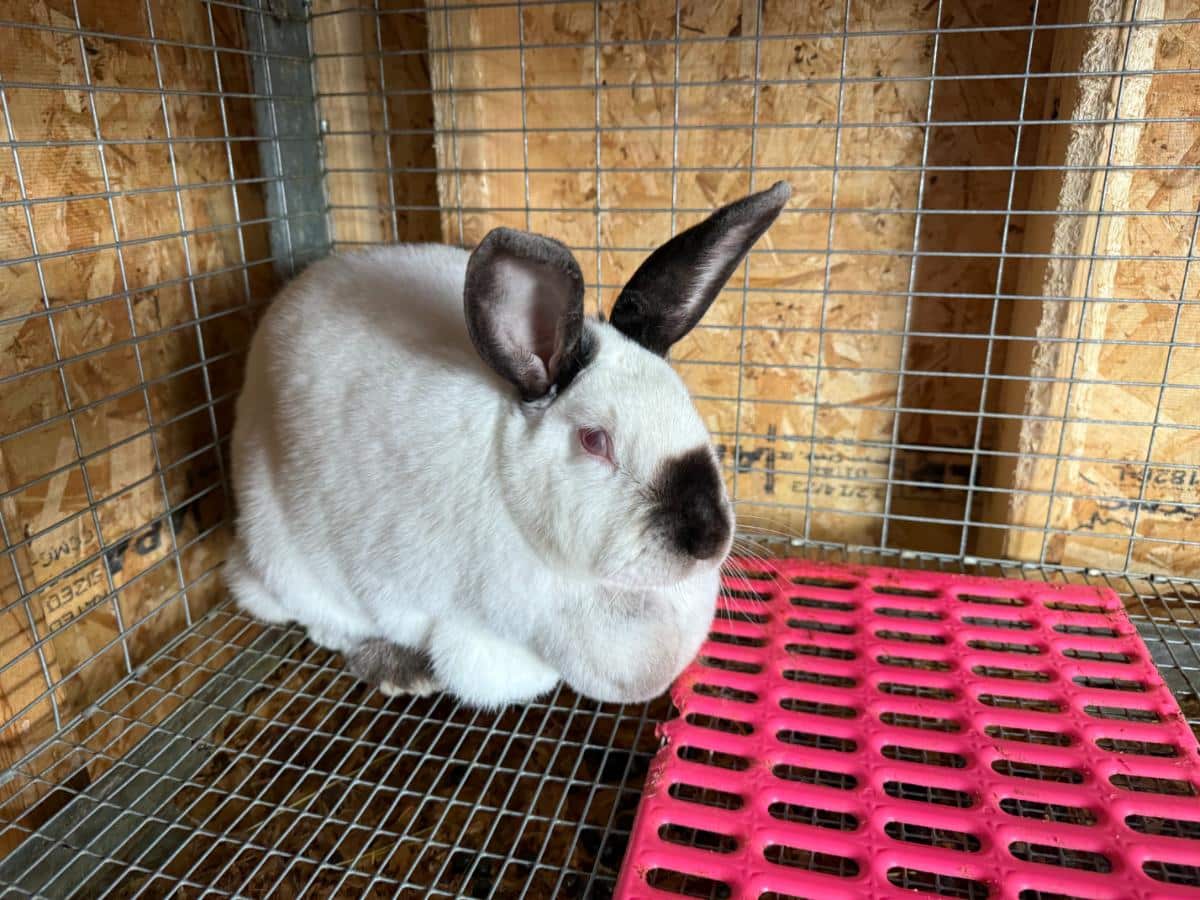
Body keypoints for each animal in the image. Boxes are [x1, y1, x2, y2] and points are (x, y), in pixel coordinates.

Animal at [225, 181, 791, 708]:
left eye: (689, 406)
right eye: (595, 441)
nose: (710, 539)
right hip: (289, 561)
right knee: (322, 622)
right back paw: (399, 669)